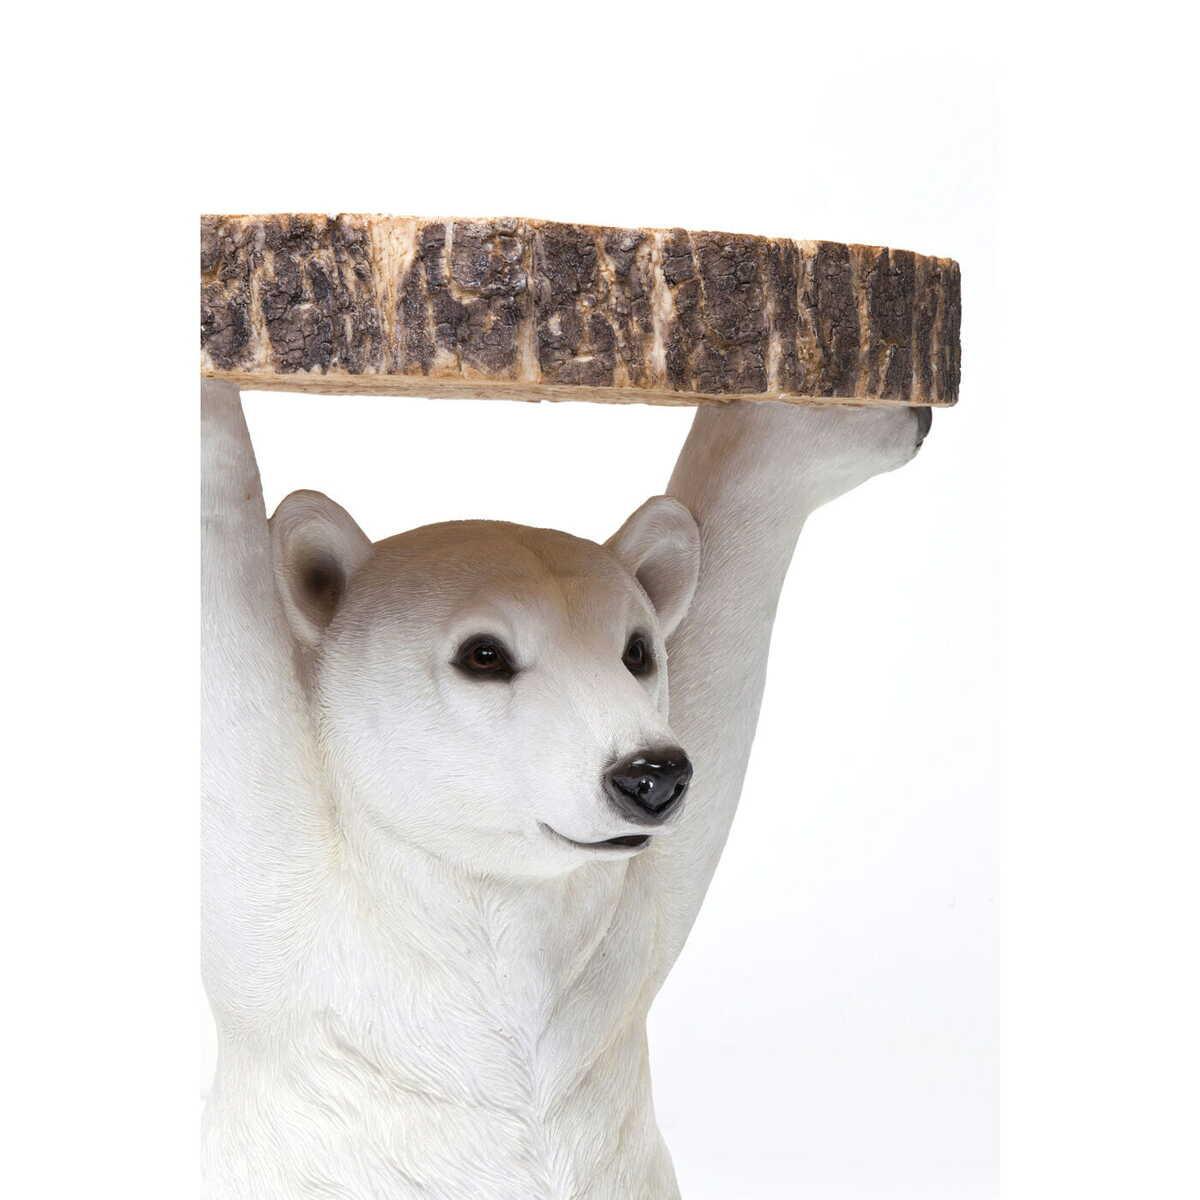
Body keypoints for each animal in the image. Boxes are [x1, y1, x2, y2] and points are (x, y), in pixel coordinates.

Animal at [201, 379, 928, 1198]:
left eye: (638, 650)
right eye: (484, 653)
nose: (652, 775)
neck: (496, 904)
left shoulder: (625, 946)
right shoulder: (296, 939)